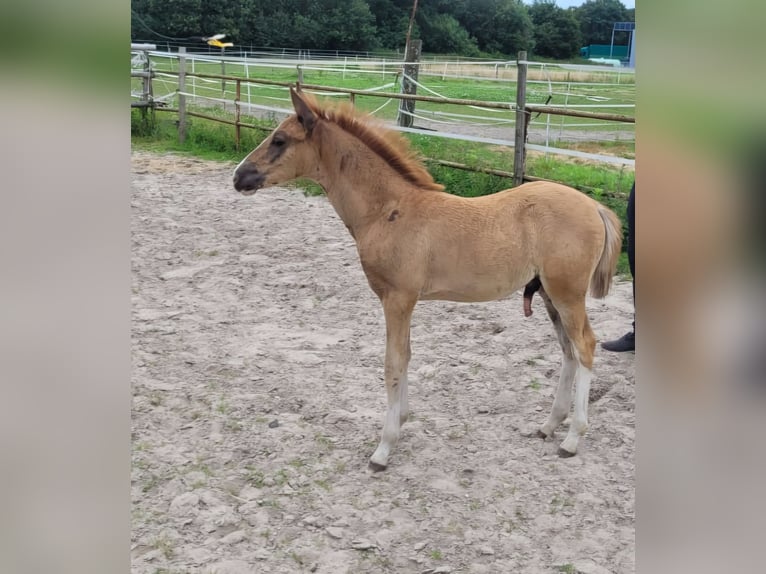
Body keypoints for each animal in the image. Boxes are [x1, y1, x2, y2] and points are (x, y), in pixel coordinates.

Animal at [234, 89, 624, 472]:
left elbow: (393, 362)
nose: (239, 177)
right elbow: (405, 355)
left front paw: (384, 448)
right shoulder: (402, 301)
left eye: (280, 140)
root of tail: (594, 206)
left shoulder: (397, 298)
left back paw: (572, 439)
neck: (387, 210)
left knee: (585, 346)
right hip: (548, 294)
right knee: (568, 351)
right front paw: (402, 421)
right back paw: (548, 425)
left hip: (566, 293)